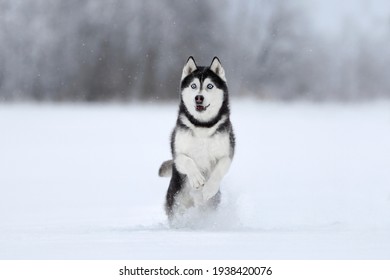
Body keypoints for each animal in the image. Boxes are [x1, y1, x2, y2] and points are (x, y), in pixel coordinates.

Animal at [158, 57, 235, 221]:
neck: (202, 126)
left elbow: (219, 169)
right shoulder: (178, 154)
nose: (198, 98)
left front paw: (209, 189)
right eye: (193, 86)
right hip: (175, 201)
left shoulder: (227, 154)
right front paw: (197, 179)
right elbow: (187, 161)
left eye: (209, 86)